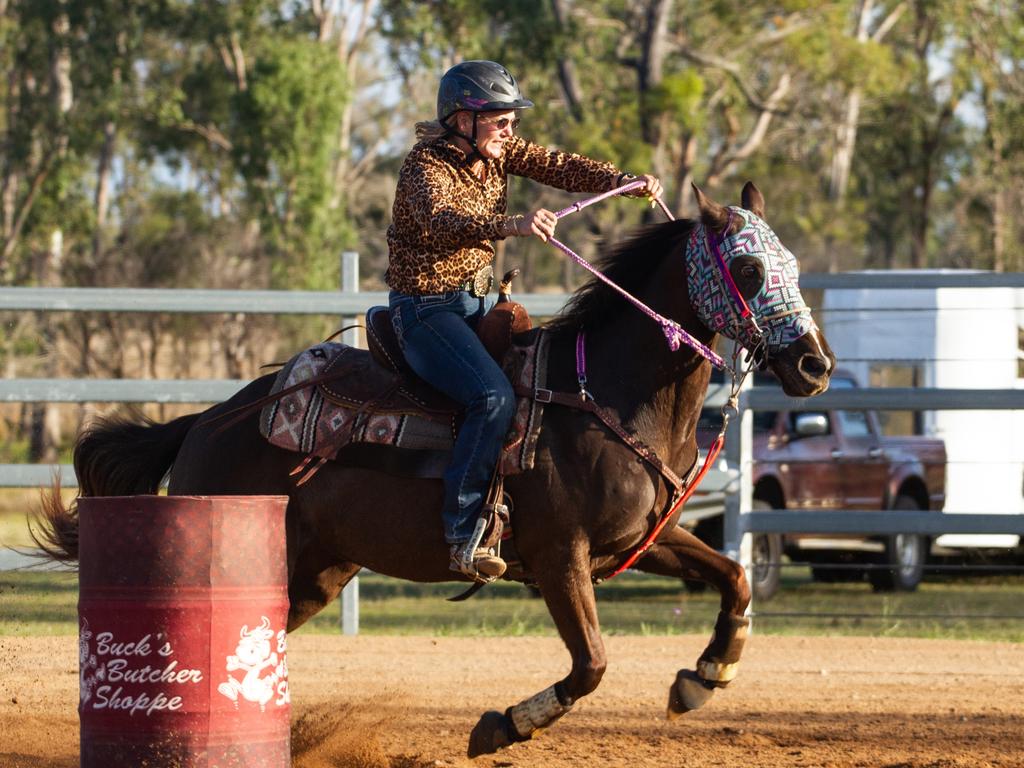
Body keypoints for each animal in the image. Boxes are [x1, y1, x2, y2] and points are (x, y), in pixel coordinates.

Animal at [34, 185, 831, 757]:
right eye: (749, 268)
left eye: (793, 266)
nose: (814, 365)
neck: (601, 393)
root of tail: (206, 421)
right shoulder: (558, 557)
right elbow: (592, 663)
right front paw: (504, 725)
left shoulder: (640, 541)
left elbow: (732, 577)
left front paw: (705, 676)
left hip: (316, 574)